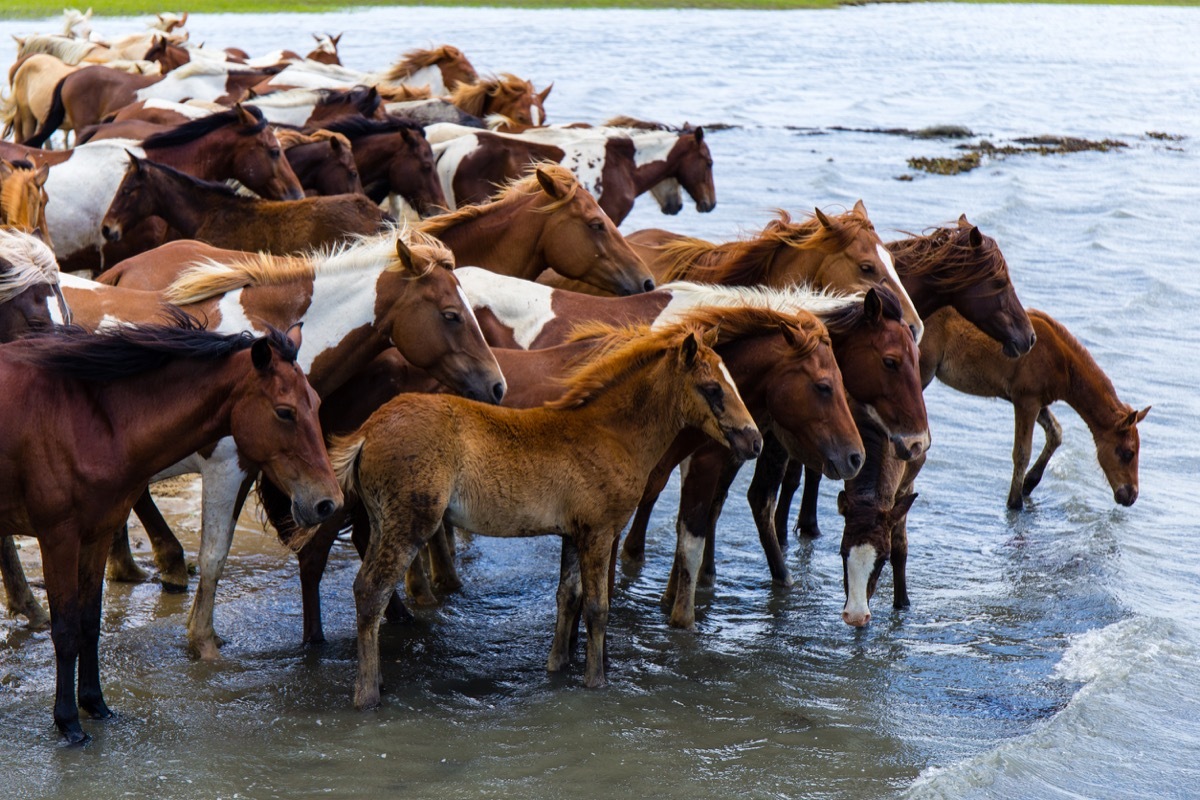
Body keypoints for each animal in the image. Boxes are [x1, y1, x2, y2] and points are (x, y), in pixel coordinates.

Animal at [0, 314, 343, 743]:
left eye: (316, 404)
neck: (89, 419)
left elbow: (89, 623)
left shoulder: (97, 534)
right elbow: (65, 631)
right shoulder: (58, 538)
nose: (328, 502)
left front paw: (95, 704)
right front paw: (68, 722)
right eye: (284, 412)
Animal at [324, 321, 758, 705]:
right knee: (373, 592)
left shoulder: (573, 533)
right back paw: (367, 694)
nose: (754, 441)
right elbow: (598, 608)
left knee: (364, 587)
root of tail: (367, 431)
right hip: (410, 524)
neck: (612, 434)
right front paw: (596, 680)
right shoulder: (600, 532)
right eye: (712, 389)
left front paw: (556, 666)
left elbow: (567, 596)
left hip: (383, 522)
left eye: (735, 384)